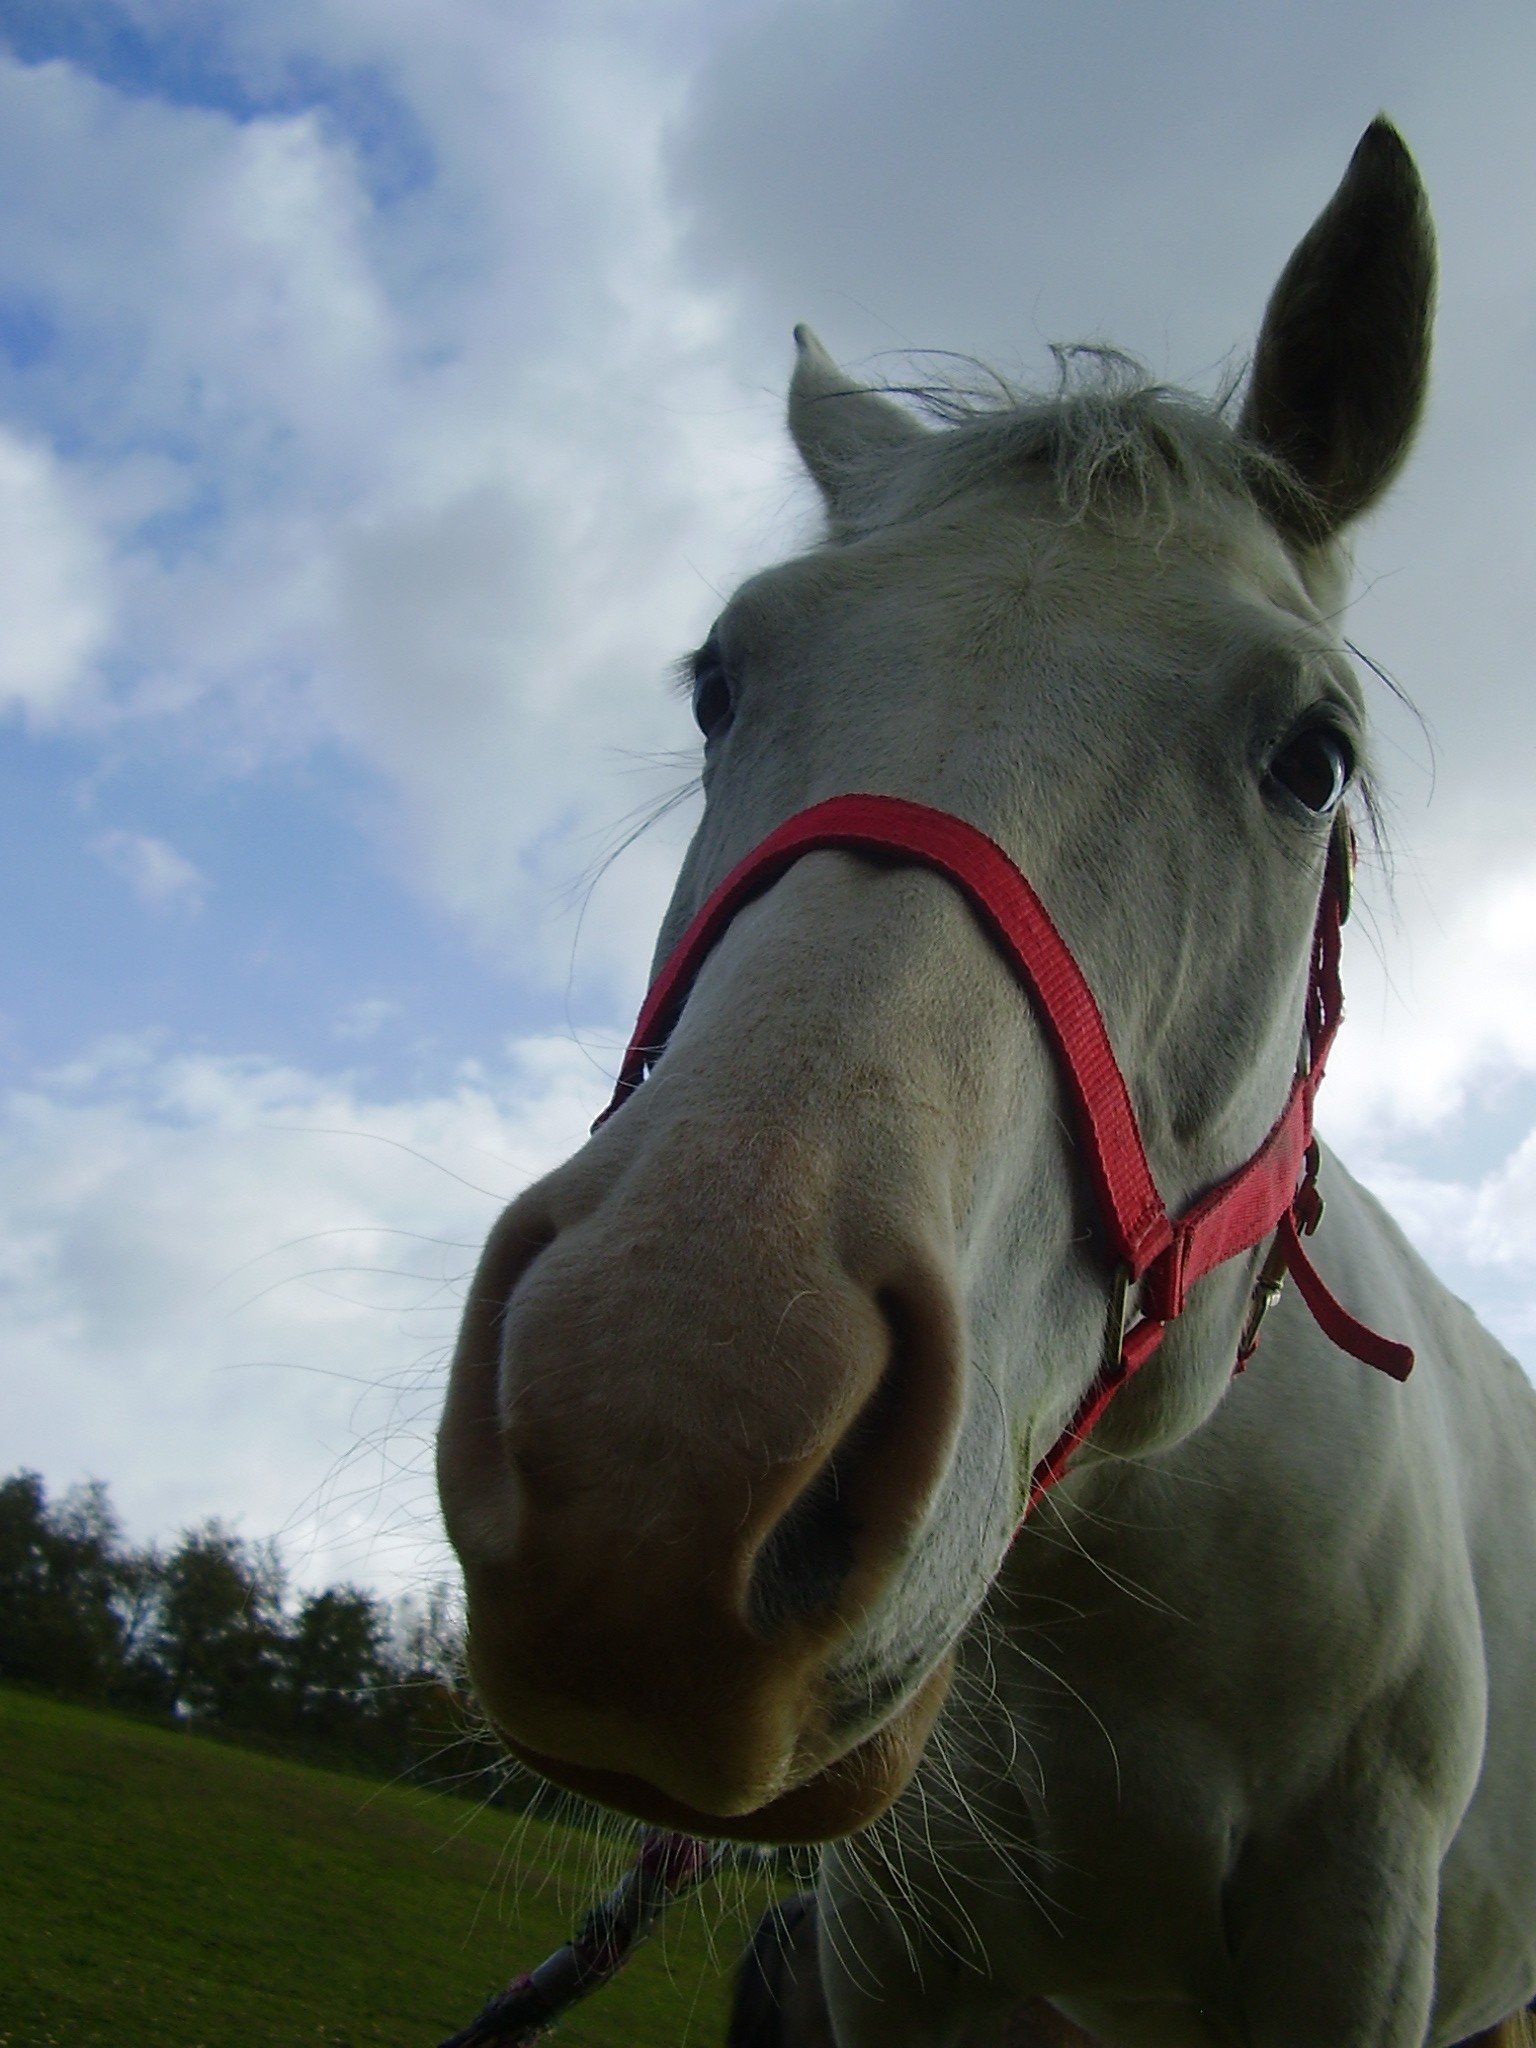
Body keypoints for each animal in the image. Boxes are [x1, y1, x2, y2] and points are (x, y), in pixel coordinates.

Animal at [434, 128, 1536, 2048]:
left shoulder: (1354, 1936)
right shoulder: (891, 1954)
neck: (1129, 1578)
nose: (658, 1447)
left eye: (1314, 758)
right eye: (719, 682)